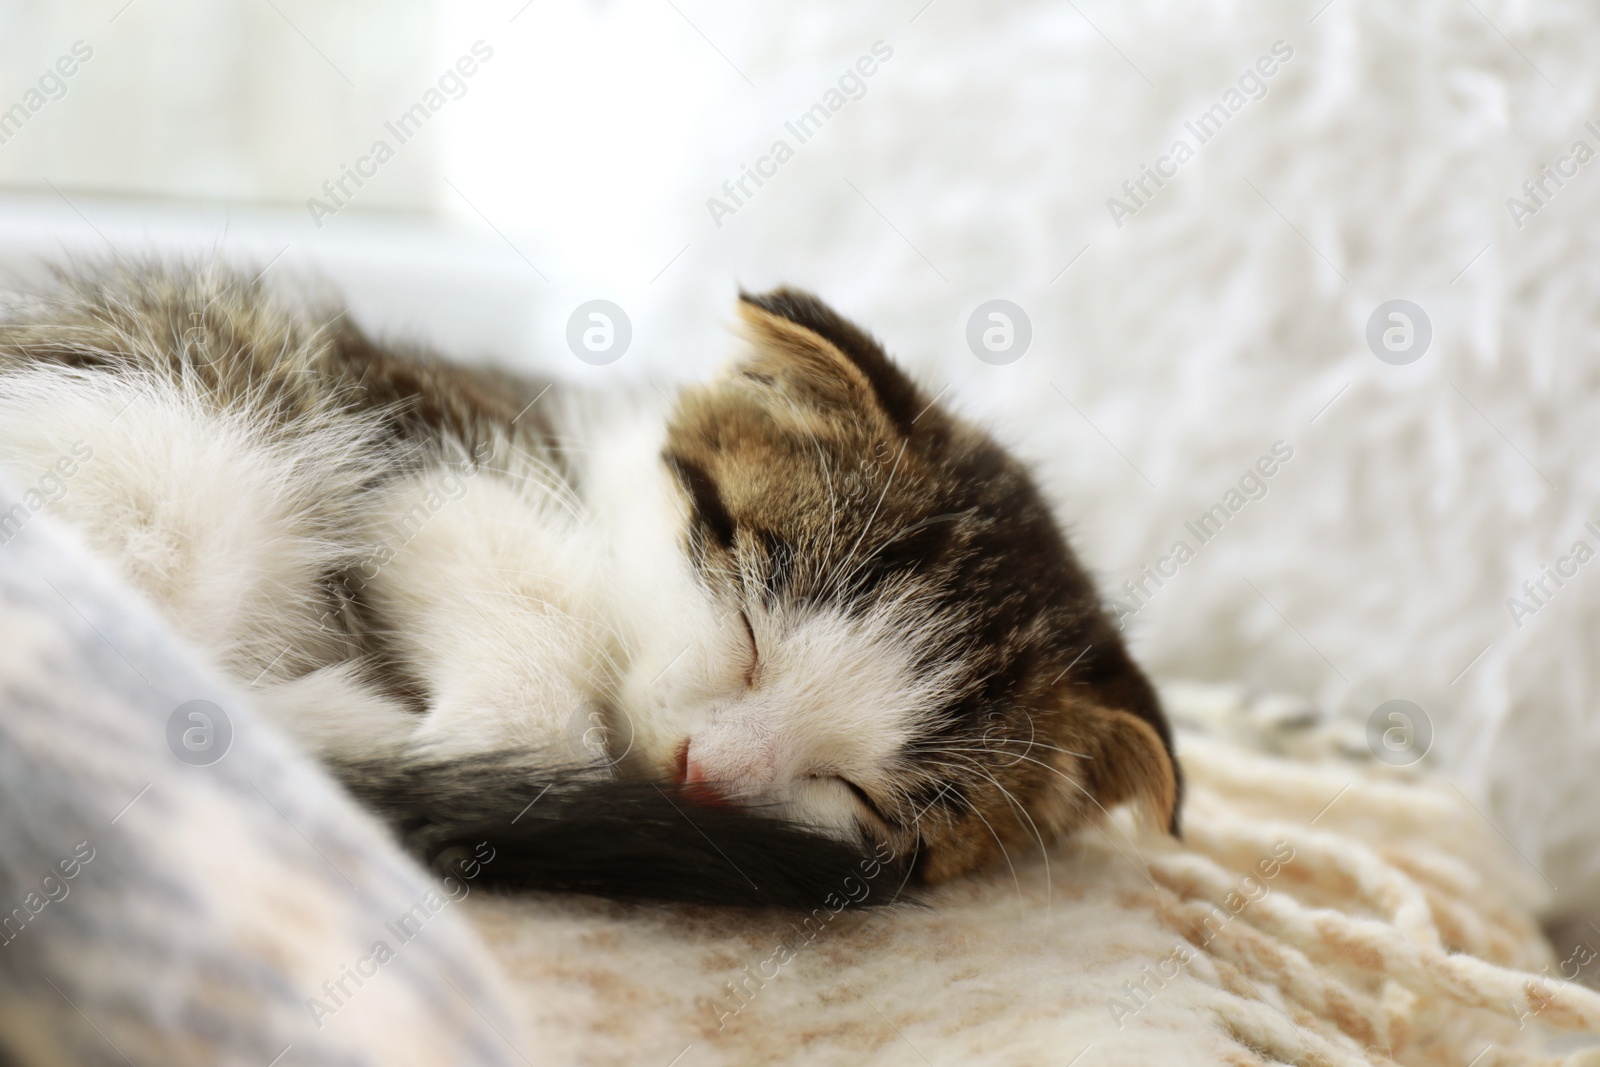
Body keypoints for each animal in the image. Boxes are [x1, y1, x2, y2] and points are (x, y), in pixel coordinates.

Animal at [0, 262, 1177, 908]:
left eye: (861, 792)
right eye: (750, 627)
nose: (703, 775)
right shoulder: (416, 432)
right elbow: (510, 572)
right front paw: (495, 739)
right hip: (187, 433)